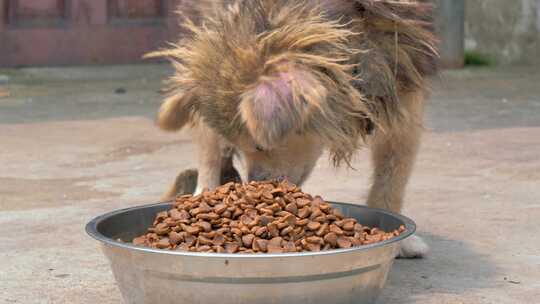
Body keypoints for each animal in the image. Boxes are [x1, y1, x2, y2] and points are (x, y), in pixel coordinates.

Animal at [148, 0, 438, 258]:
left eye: (260, 145)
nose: (255, 187)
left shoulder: (402, 90)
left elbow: (391, 180)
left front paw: (401, 239)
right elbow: (210, 149)